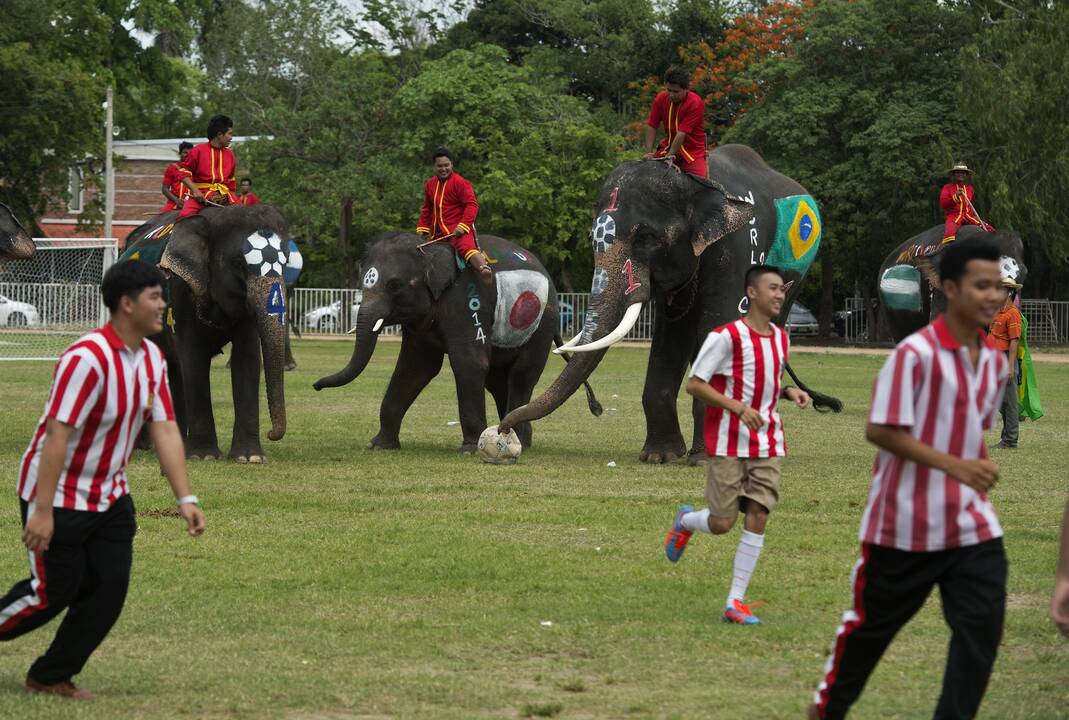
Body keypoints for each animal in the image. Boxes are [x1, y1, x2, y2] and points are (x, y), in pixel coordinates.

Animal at [314, 232, 602, 450]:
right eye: (362, 283)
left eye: (395, 285)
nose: (315, 386)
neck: (430, 250)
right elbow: (414, 368)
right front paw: (379, 446)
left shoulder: (467, 299)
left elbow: (469, 362)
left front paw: (471, 449)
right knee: (497, 380)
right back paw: (511, 436)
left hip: (543, 323)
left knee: (522, 375)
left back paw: (518, 439)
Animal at [496, 143, 838, 463]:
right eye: (591, 239)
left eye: (645, 237)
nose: (502, 429)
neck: (693, 181)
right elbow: (671, 337)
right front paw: (661, 456)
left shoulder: (740, 247)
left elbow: (720, 324)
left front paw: (705, 459)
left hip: (795, 275)